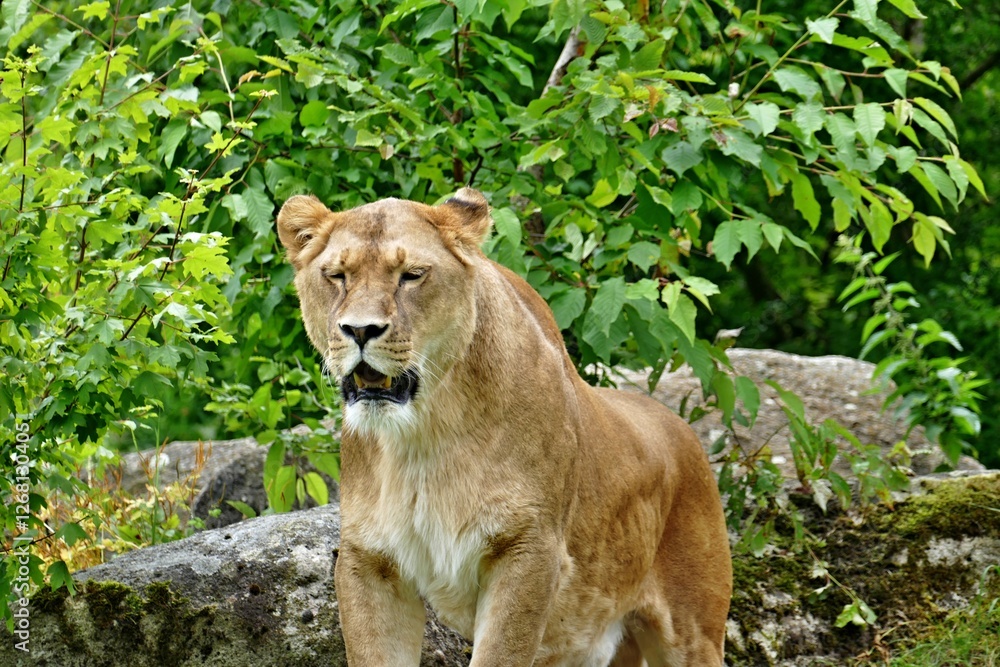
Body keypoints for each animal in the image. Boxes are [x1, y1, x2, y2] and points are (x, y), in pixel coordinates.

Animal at [276, 188, 732, 666]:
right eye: (336, 276)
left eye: (412, 275)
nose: (360, 330)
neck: (422, 434)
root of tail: (684, 432)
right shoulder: (369, 560)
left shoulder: (529, 551)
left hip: (692, 632)